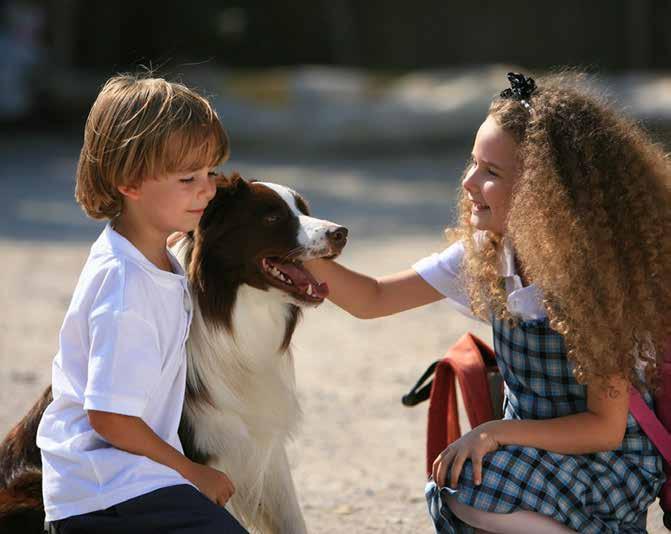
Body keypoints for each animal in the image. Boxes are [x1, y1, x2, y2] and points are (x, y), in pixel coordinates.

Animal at [0, 174, 346, 532]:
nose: (341, 233)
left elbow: (292, 519)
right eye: (272, 217)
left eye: (303, 210)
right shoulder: (208, 455)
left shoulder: (262, 443)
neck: (230, 314)